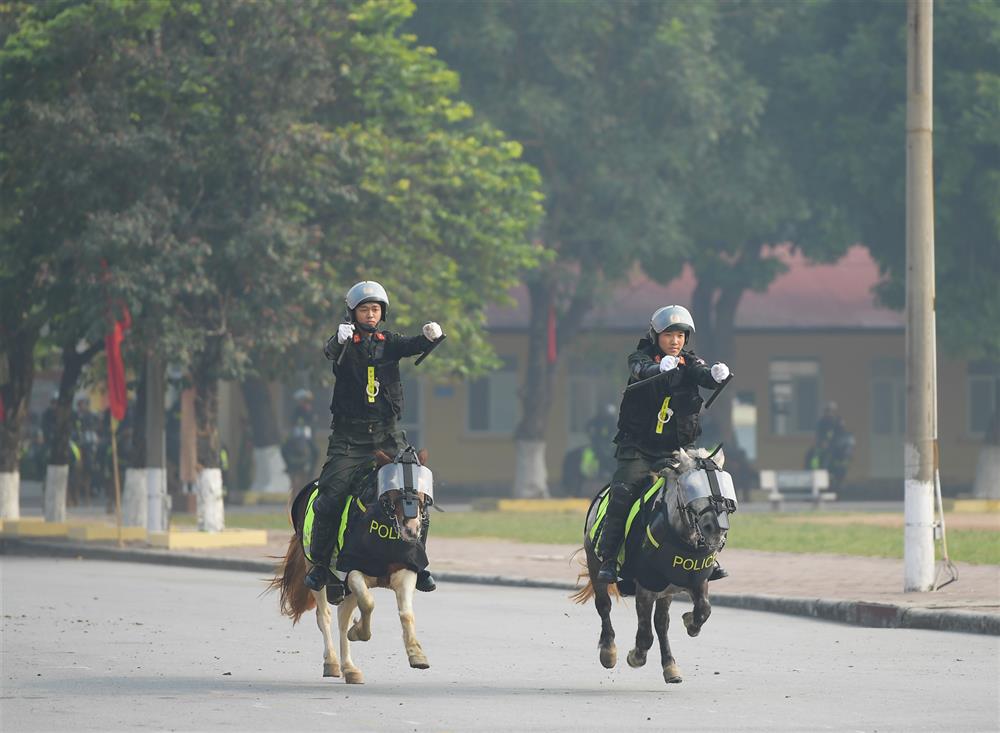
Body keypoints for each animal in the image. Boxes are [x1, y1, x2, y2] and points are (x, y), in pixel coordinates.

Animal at [268, 445, 434, 684]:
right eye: (391, 485)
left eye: (423, 487)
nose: (411, 529)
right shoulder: (352, 573)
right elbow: (369, 603)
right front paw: (359, 632)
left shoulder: (406, 572)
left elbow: (406, 613)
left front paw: (416, 654)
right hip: (317, 573)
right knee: (325, 617)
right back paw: (332, 663)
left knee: (342, 618)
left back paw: (349, 668)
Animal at [573, 446, 738, 685]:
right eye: (691, 486)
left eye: (723, 483)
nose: (715, 528)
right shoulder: (646, 588)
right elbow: (644, 635)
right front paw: (635, 656)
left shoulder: (696, 580)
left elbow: (703, 610)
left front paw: (689, 622)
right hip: (595, 564)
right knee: (604, 605)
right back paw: (608, 651)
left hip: (665, 592)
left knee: (661, 623)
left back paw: (670, 666)